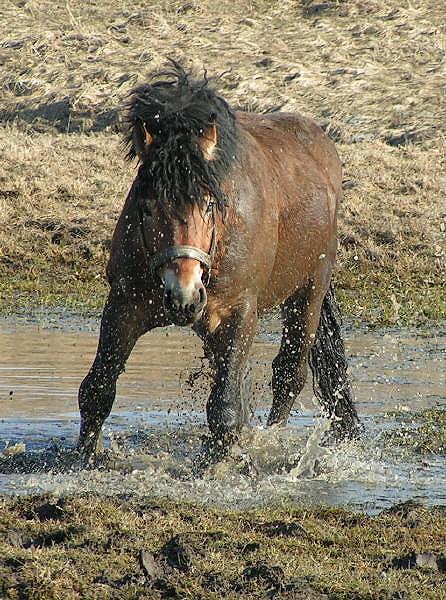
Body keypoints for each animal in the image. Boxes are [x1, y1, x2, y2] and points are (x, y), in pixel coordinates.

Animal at [77, 62, 358, 464]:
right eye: (146, 207)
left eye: (210, 204)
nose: (183, 294)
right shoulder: (124, 304)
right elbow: (98, 390)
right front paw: (82, 458)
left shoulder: (239, 312)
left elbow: (224, 407)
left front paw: (220, 464)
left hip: (309, 292)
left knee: (289, 374)